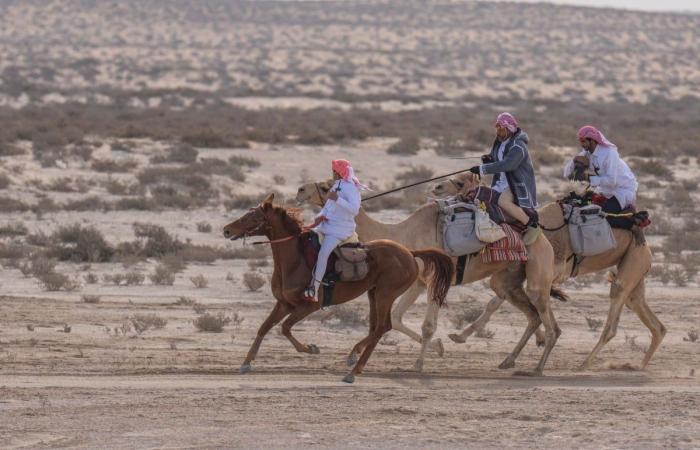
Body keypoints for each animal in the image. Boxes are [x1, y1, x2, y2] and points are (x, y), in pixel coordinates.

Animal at [223, 193, 454, 384]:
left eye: (252, 217)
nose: (226, 230)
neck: (296, 260)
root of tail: (410, 254)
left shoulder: (309, 306)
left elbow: (285, 328)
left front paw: (311, 348)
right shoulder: (284, 304)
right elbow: (264, 328)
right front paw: (246, 363)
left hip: (385, 294)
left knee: (382, 327)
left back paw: (353, 370)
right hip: (373, 293)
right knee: (378, 327)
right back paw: (354, 358)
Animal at [298, 181, 560, 374]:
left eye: (327, 187)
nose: (300, 191)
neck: (401, 233)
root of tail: (543, 238)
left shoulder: (435, 279)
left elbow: (427, 326)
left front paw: (419, 364)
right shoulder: (418, 282)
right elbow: (396, 318)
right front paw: (439, 348)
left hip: (537, 272)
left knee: (548, 321)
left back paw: (537, 369)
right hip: (506, 278)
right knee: (532, 315)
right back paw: (507, 361)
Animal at [432, 172, 668, 370]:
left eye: (461, 183)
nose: (437, 187)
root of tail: (647, 246)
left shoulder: (548, 273)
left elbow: (510, 303)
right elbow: (498, 302)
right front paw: (461, 338)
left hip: (631, 266)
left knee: (614, 316)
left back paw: (584, 365)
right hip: (635, 274)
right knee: (653, 321)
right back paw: (638, 366)